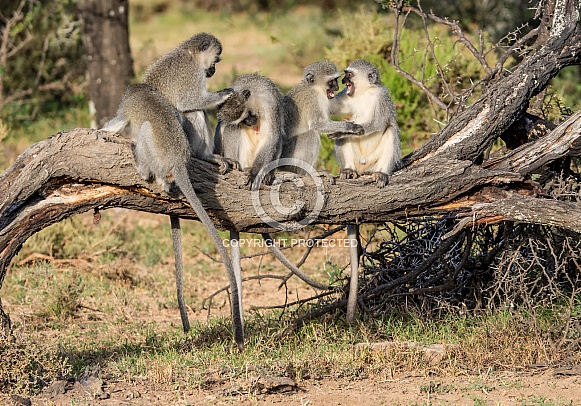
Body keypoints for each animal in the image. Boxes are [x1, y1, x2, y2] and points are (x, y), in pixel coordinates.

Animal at [102, 84, 245, 350]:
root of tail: (177, 159)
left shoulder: (125, 108)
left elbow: (118, 122)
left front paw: (102, 132)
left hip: (154, 156)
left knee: (145, 132)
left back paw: (144, 169)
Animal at [328, 58, 402, 324]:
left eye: (349, 75)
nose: (342, 80)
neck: (363, 93)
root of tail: (365, 168)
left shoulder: (382, 97)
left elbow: (377, 123)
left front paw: (347, 129)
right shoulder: (345, 99)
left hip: (377, 160)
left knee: (390, 129)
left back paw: (381, 174)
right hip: (356, 160)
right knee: (344, 144)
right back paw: (349, 171)